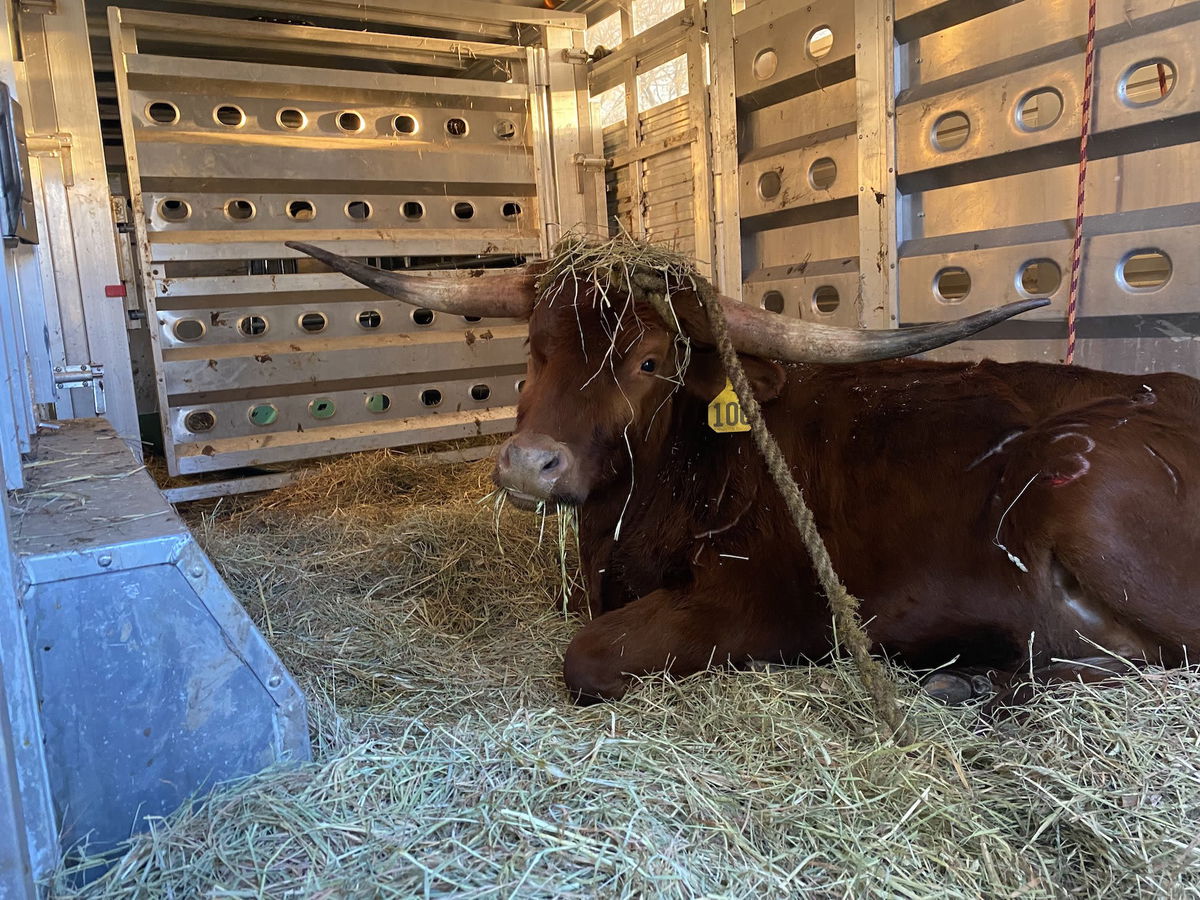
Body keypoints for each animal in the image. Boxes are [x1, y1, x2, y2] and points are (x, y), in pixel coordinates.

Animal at [285, 241, 1200, 710]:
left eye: (650, 361)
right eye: (534, 349)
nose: (530, 467)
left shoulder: (757, 608)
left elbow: (586, 656)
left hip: (1083, 495)